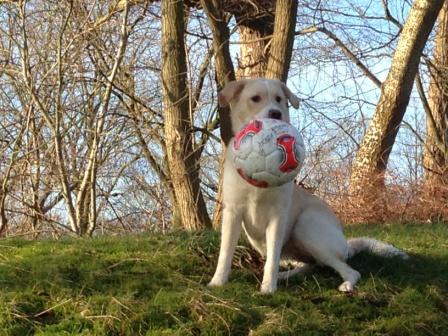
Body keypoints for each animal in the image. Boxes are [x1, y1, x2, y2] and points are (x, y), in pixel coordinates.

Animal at [208, 79, 408, 294]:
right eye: (255, 98)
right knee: (311, 265)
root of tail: (346, 245)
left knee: (349, 270)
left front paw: (268, 288)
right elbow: (226, 252)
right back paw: (286, 275)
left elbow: (272, 260)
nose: (276, 114)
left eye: (279, 99)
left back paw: (345, 284)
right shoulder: (232, 212)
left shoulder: (278, 217)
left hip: (305, 226)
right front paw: (218, 281)